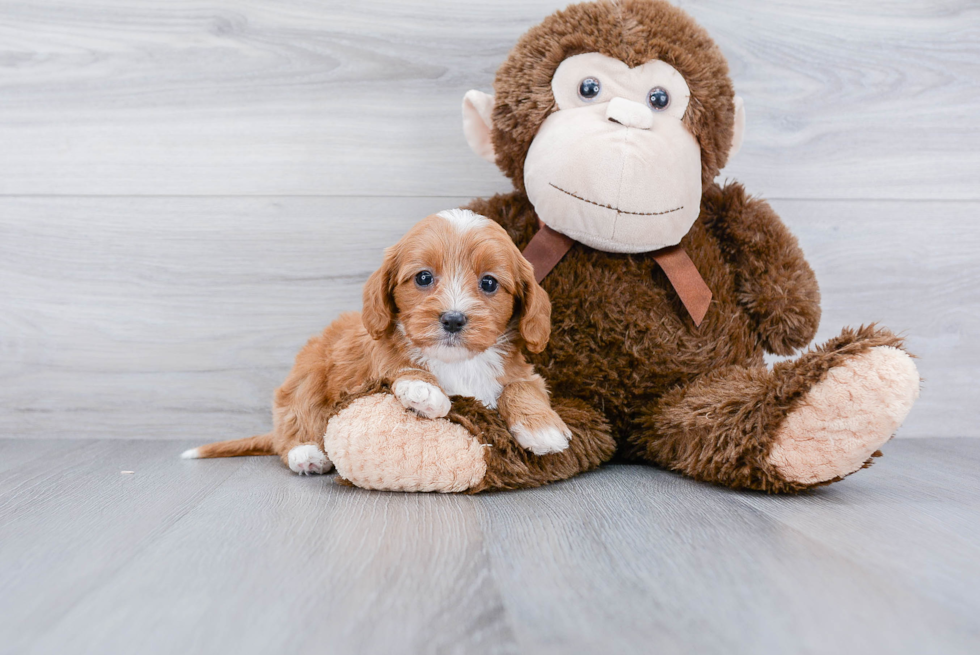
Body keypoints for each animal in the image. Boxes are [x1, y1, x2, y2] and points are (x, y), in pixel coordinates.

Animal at [183, 210, 572, 476]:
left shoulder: (520, 369)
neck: (457, 361)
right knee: (295, 421)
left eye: (489, 283)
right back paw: (305, 454)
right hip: (307, 375)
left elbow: (523, 386)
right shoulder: (373, 358)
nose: (452, 319)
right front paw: (423, 391)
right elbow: (398, 363)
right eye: (423, 278)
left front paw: (544, 428)